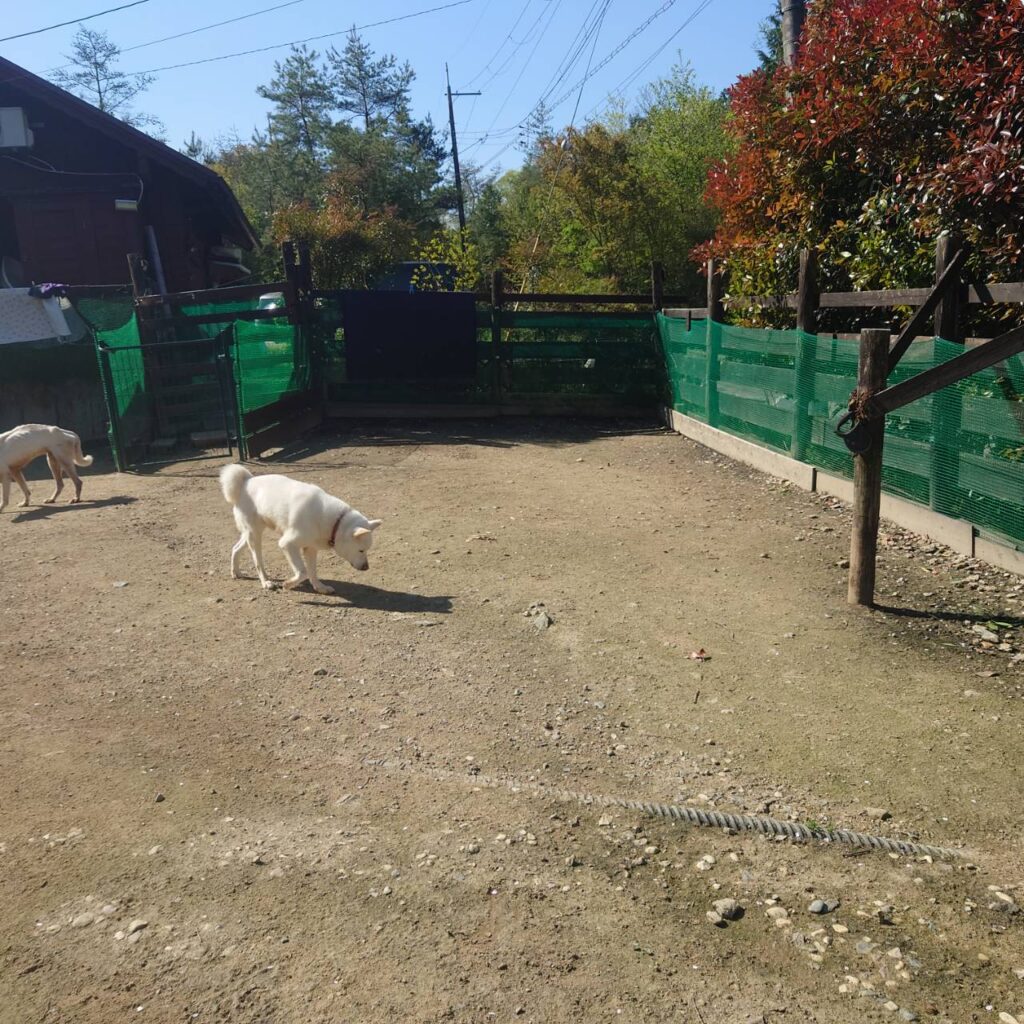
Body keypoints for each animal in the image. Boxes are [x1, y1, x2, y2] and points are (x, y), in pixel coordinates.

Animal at [219, 464, 382, 593]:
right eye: (361, 550)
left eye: (366, 550)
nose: (366, 567)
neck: (336, 521)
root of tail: (247, 481)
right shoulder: (287, 544)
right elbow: (303, 572)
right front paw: (288, 584)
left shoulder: (310, 548)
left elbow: (312, 572)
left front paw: (320, 587)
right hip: (255, 535)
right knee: (258, 562)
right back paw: (266, 582)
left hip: (249, 534)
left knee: (235, 548)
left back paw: (236, 572)